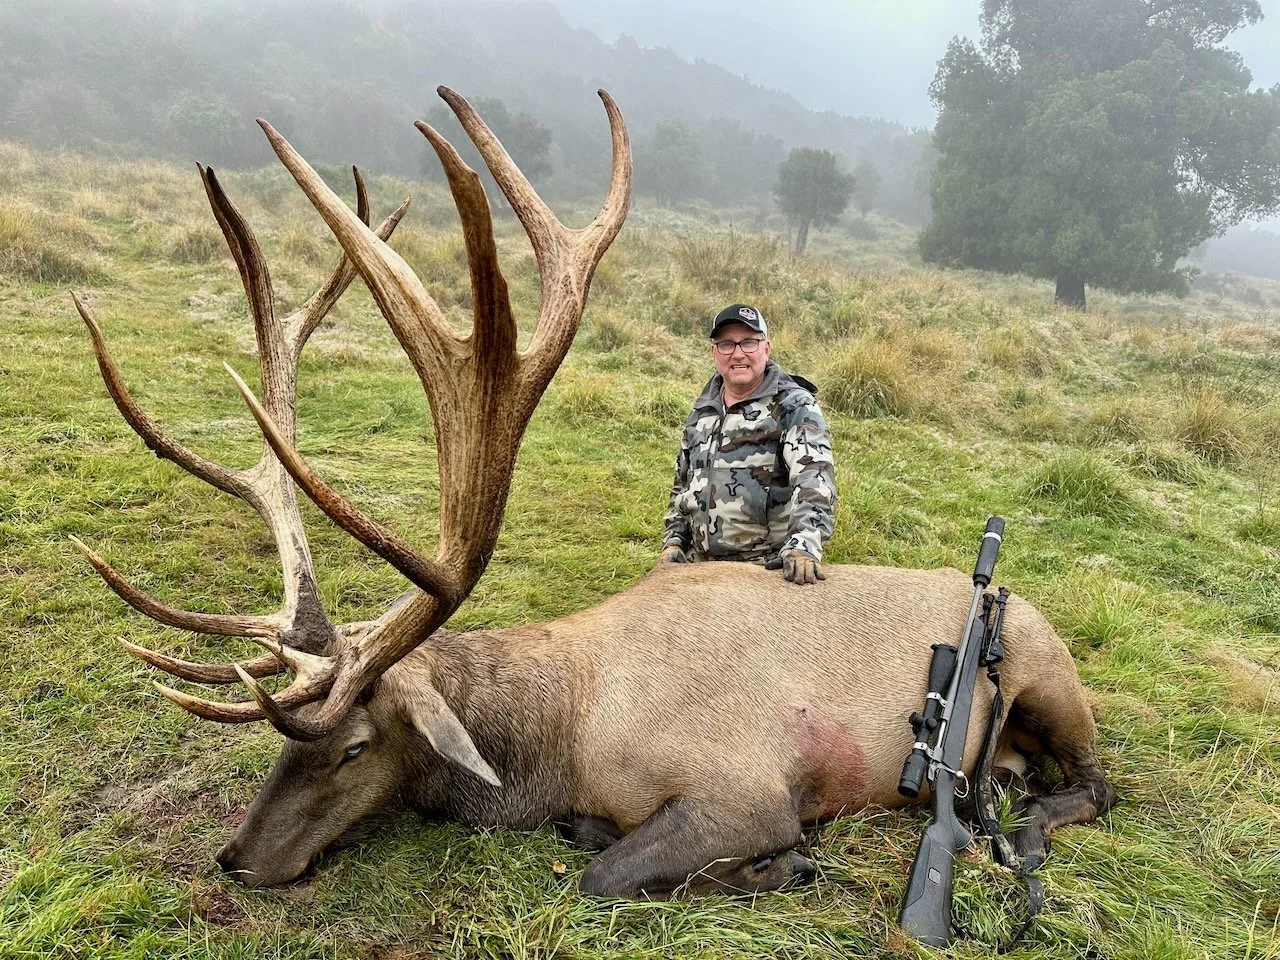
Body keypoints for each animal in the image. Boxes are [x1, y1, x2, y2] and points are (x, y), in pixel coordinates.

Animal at [71, 88, 1116, 898]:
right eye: (280, 747)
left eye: (355, 746)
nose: (236, 859)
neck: (562, 742)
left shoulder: (743, 786)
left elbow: (607, 871)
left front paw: (781, 865)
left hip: (1048, 673)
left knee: (1099, 782)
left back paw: (1018, 820)